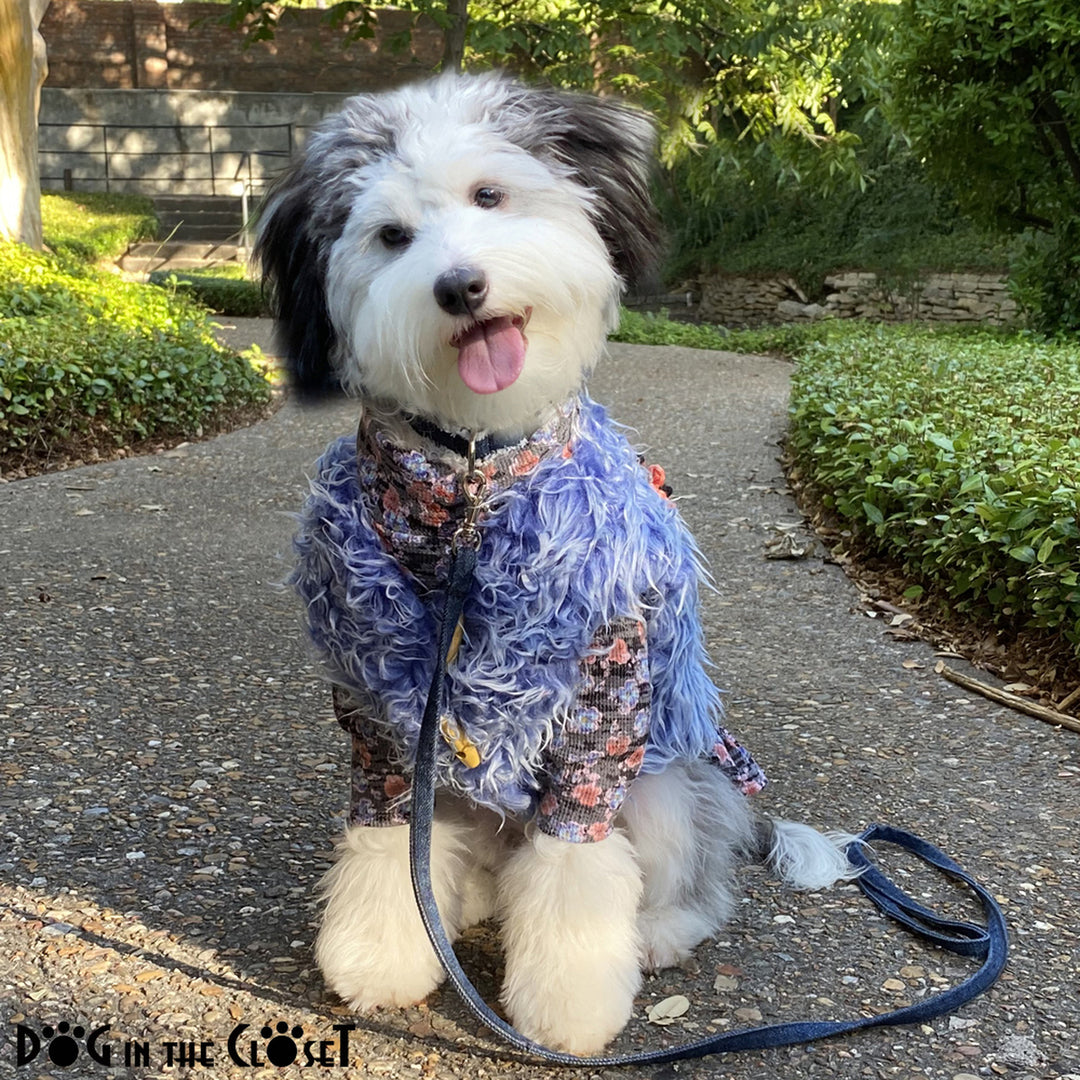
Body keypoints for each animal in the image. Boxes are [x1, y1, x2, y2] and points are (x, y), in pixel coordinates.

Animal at [254, 73, 859, 1054]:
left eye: (490, 196)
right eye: (391, 236)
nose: (461, 286)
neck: (471, 484)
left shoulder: (602, 682)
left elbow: (577, 867)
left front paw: (568, 1004)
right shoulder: (380, 685)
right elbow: (387, 839)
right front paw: (380, 955)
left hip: (666, 780)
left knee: (687, 877)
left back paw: (657, 931)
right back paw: (461, 907)